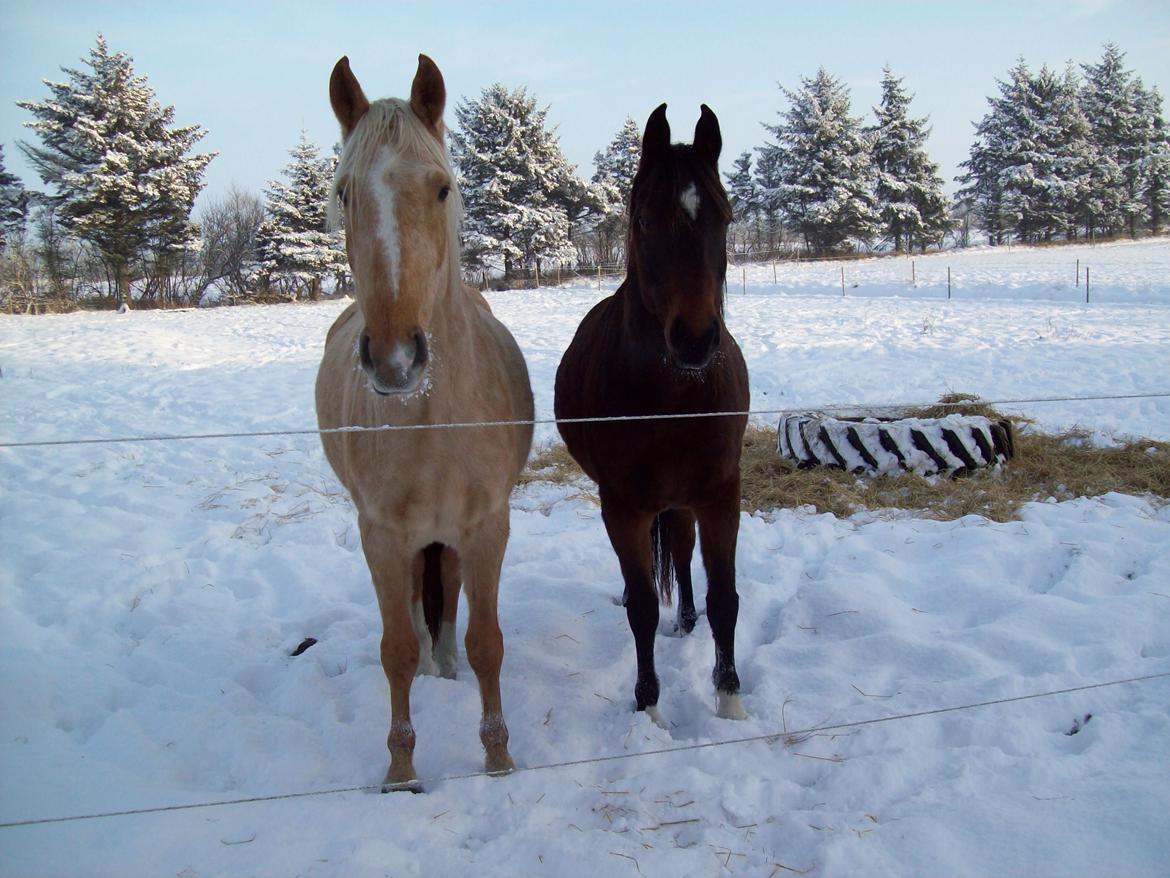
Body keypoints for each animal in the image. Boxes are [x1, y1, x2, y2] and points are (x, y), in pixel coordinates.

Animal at [315, 58, 535, 796]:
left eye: (442, 188)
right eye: (344, 192)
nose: (395, 359)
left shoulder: (486, 527)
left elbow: (487, 642)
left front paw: (498, 759)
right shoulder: (382, 536)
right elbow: (395, 650)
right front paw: (402, 770)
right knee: (416, 608)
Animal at [549, 103, 748, 725]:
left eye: (725, 217)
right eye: (642, 220)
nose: (694, 340)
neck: (674, 400)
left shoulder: (720, 494)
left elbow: (724, 598)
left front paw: (730, 701)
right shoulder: (624, 508)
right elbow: (639, 606)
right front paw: (649, 708)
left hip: (684, 499)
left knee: (681, 552)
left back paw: (684, 619)